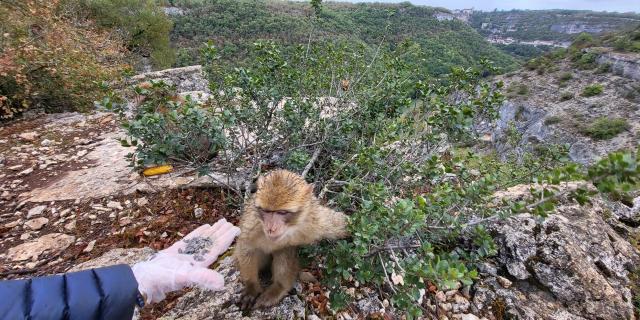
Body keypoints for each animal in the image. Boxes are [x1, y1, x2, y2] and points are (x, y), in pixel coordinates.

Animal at [232, 169, 348, 308]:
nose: (271, 228)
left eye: (282, 212)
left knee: (285, 250)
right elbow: (246, 247)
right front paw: (251, 287)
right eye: (266, 211)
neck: (290, 229)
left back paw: (279, 288)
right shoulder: (253, 225)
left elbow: (340, 224)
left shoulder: (315, 219)